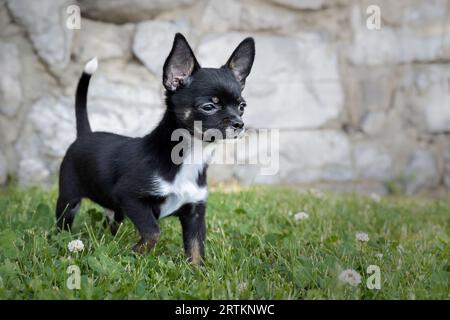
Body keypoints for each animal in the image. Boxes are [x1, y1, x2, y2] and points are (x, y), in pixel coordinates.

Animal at [55, 32, 255, 264]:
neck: (190, 155)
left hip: (114, 209)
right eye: (209, 107)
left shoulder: (195, 211)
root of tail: (85, 134)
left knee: (112, 221)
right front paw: (136, 253)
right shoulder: (130, 197)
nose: (239, 124)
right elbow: (153, 231)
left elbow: (196, 248)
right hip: (69, 198)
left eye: (242, 107)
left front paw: (196, 270)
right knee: (63, 221)